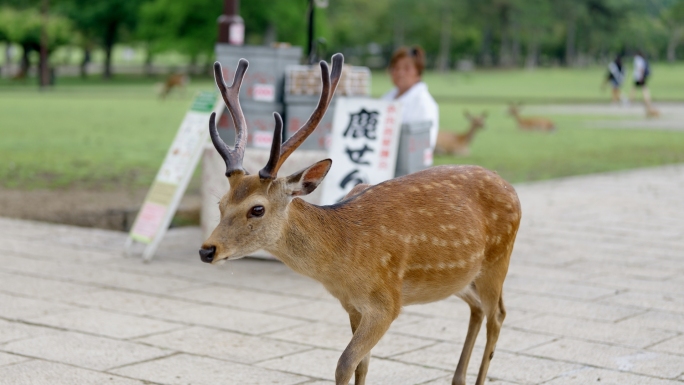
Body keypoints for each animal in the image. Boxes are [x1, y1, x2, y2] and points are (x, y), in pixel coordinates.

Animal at [200, 53, 520, 384]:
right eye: (220, 204)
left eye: (257, 208)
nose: (207, 250)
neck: (343, 258)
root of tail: (511, 188)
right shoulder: (352, 305)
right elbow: (362, 364)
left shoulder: (387, 303)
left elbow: (344, 363)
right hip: (462, 277)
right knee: (477, 308)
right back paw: (458, 378)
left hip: (498, 260)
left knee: (498, 314)